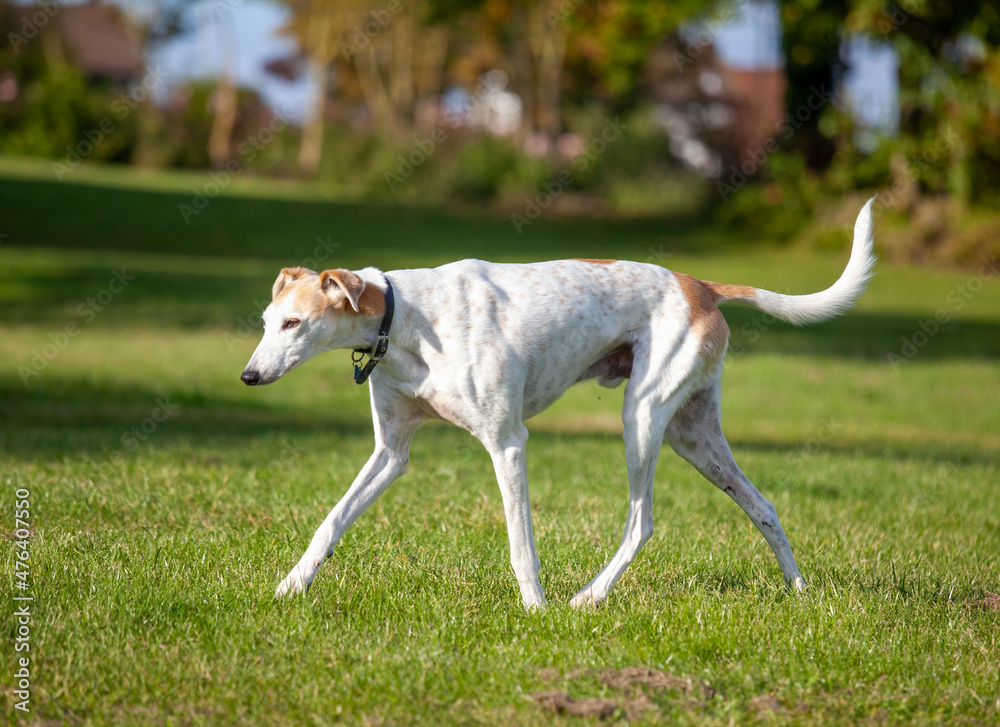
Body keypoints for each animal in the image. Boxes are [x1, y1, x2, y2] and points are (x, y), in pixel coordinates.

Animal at [242, 198, 876, 608]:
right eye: (268, 321)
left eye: (294, 323)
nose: (249, 375)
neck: (406, 317)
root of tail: (702, 286)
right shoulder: (390, 453)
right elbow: (331, 521)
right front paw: (291, 585)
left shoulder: (507, 444)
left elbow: (521, 544)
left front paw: (535, 610)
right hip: (693, 436)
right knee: (762, 505)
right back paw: (800, 593)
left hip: (642, 419)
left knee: (642, 522)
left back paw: (588, 597)